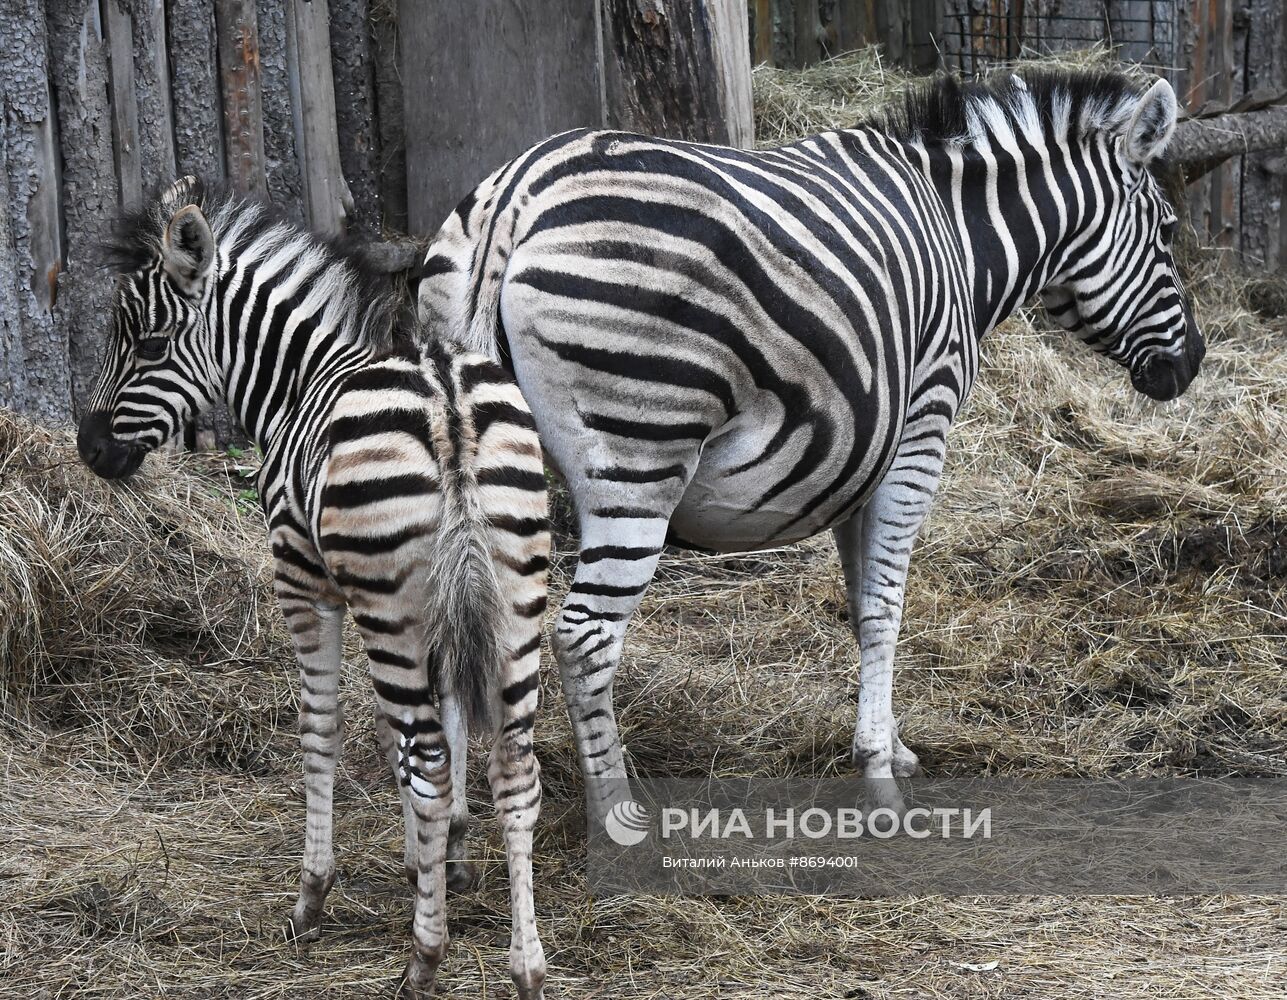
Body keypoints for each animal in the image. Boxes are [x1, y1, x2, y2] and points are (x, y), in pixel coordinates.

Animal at [75, 177, 548, 998]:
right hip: (512, 599)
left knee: (428, 762)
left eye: (149, 345)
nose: (88, 448)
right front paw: (439, 859)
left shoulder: (306, 583)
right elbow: (435, 727)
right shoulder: (440, 613)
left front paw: (315, 893)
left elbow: (321, 730)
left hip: (391, 610)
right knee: (514, 767)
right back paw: (526, 966)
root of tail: (448, 406)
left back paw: (423, 960)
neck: (298, 380)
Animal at [419, 68, 1204, 818]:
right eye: (1167, 233)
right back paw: (617, 817)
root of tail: (517, 197)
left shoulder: (862, 457)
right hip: (639, 453)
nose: (1192, 365)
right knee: (583, 637)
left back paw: (447, 819)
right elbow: (886, 605)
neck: (959, 234)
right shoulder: (921, 428)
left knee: (446, 628)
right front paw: (879, 776)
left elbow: (861, 603)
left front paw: (894, 745)